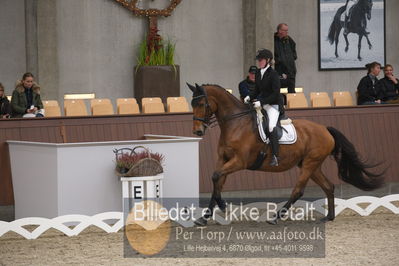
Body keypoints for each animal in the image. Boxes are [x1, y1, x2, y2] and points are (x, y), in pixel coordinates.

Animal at [189, 83, 386, 224]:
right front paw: (204, 217)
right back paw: (328, 217)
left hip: (309, 164)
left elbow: (216, 177)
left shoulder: (239, 161)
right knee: (328, 186)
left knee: (298, 190)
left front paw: (221, 206)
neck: (236, 124)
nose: (197, 131)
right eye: (192, 104)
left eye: (202, 104)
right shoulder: (223, 159)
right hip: (312, 165)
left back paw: (276, 217)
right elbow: (217, 182)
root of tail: (325, 129)